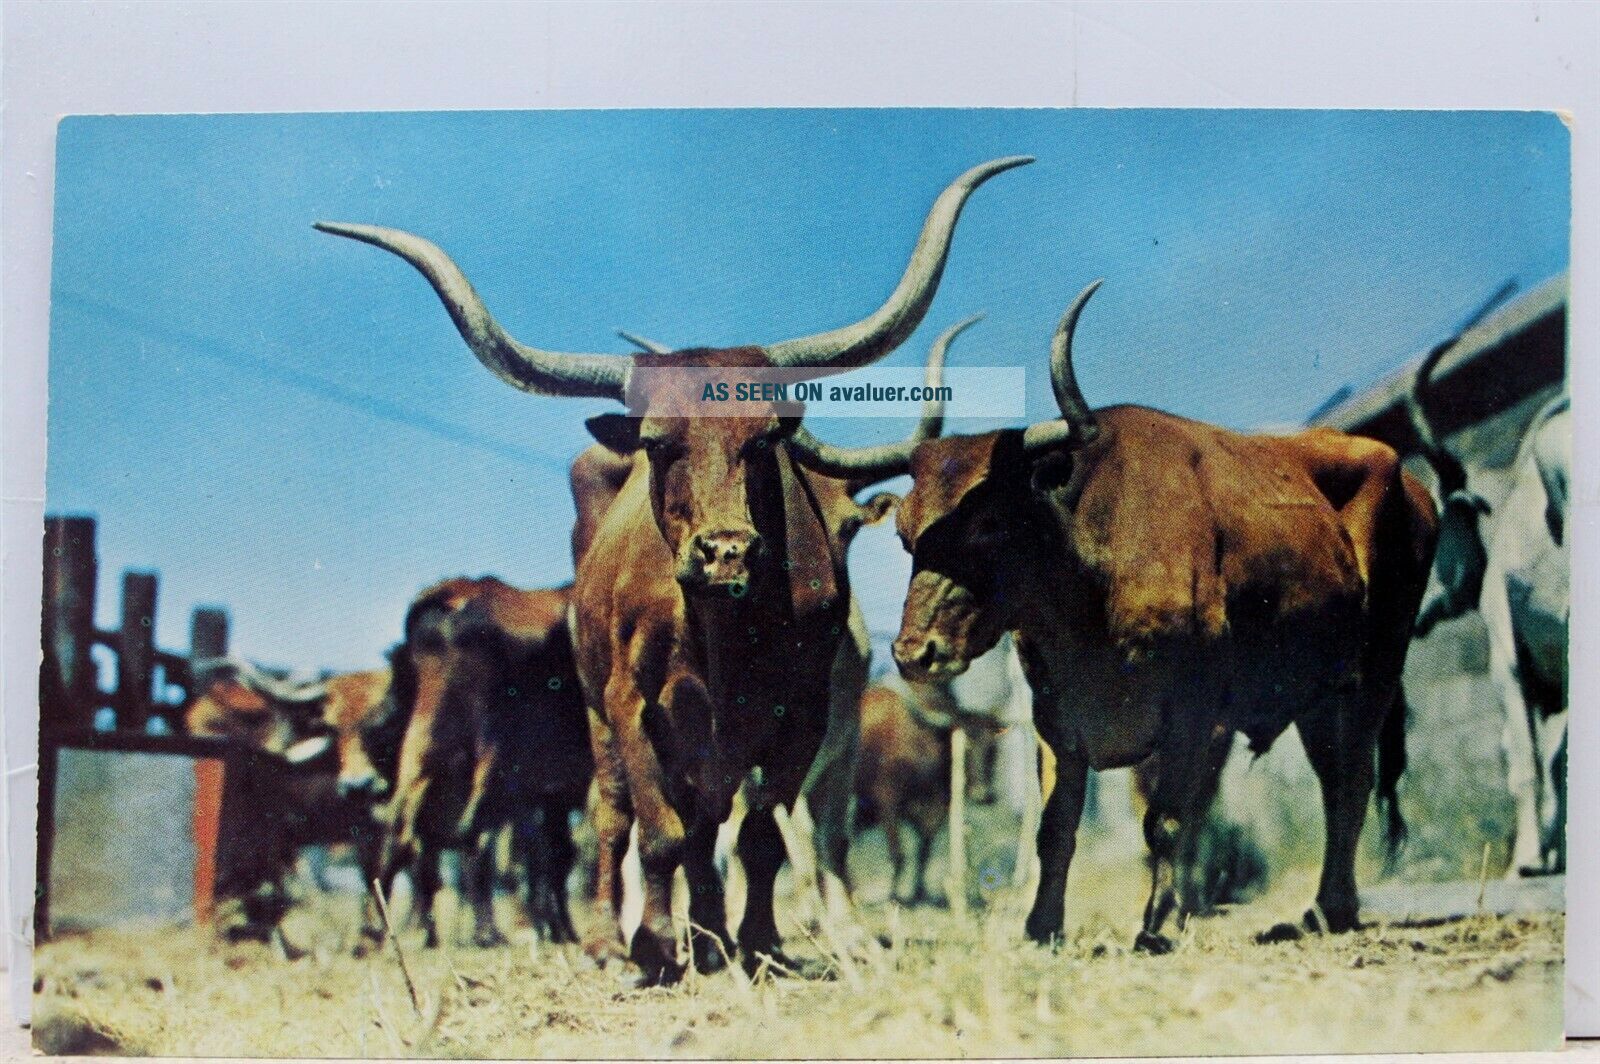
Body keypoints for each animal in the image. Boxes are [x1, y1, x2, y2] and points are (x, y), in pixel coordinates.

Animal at [375, 577, 592, 948]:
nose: (374, 723)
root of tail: (459, 591)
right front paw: (558, 929)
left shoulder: (549, 794)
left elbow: (552, 857)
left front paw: (556, 927)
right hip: (493, 752)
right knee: (473, 835)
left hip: (427, 741)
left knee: (400, 830)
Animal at [804, 280, 1438, 951]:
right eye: (904, 534)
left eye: (990, 522)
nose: (914, 651)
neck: (1089, 584)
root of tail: (1407, 480)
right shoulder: (1056, 716)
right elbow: (1055, 828)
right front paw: (1041, 927)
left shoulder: (1194, 713)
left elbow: (1166, 820)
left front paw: (1157, 924)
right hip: (1317, 695)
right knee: (1334, 780)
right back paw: (1322, 910)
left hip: (1374, 673)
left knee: (1354, 779)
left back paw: (1330, 908)